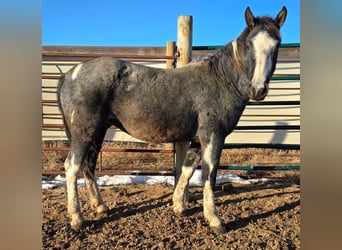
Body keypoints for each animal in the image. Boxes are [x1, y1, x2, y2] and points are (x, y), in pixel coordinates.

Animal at [57, 7, 288, 234]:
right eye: (249, 44)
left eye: (277, 44)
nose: (258, 89)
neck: (221, 79)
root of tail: (71, 74)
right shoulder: (213, 135)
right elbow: (209, 174)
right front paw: (214, 219)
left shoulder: (196, 139)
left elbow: (187, 169)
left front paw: (179, 206)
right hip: (84, 133)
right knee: (72, 166)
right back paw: (77, 218)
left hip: (97, 132)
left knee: (88, 164)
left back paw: (100, 206)